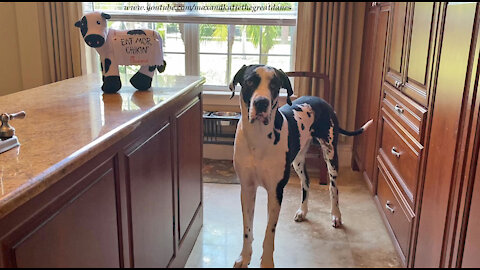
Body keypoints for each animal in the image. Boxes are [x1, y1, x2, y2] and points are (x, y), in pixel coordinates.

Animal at [231, 63, 374, 268]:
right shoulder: (247, 188)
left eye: (274, 85)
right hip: (298, 160)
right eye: (250, 81)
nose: (261, 103)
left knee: (333, 188)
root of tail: (322, 101)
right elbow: (247, 229)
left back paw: (336, 215)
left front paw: (266, 262)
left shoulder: (276, 192)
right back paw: (303, 211)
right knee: (306, 182)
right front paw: (244, 257)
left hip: (331, 155)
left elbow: (269, 232)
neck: (257, 138)